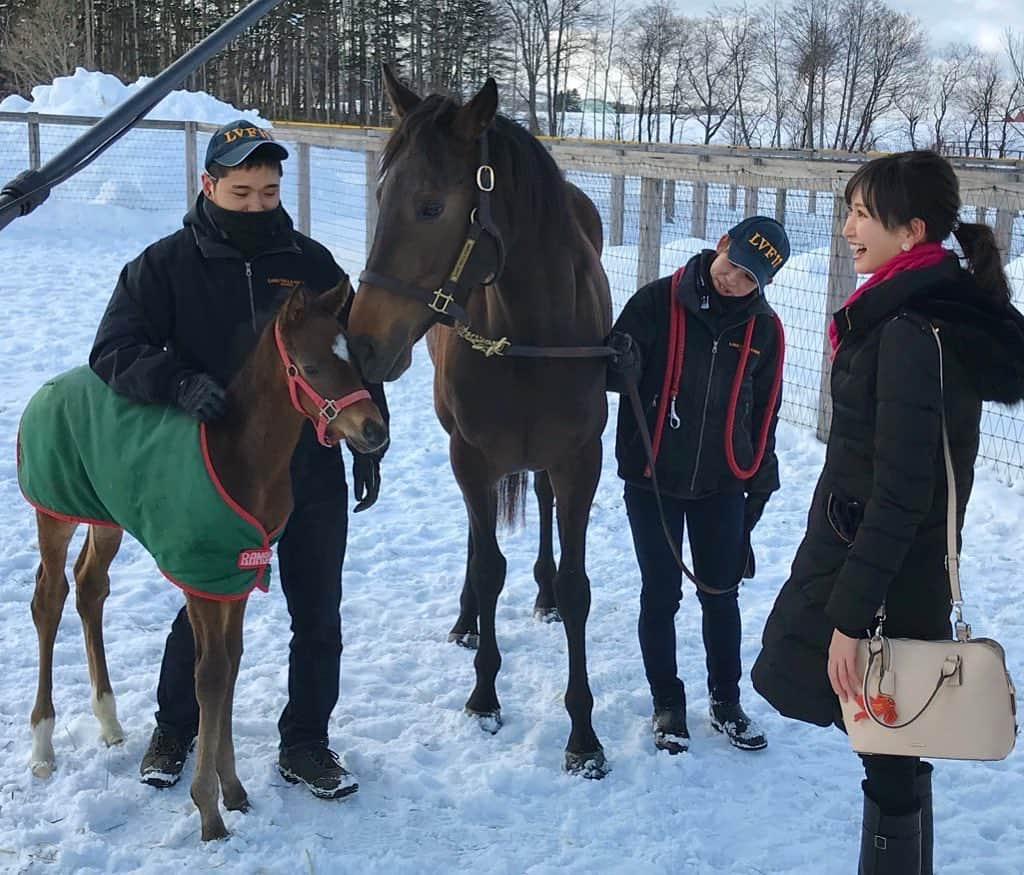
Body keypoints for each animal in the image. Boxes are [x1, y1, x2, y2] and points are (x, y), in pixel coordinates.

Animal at [19, 284, 387, 840]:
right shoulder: (199, 576)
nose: (374, 431)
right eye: (311, 366)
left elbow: (230, 666)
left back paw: (109, 722)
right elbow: (209, 674)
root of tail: (45, 389)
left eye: (356, 360)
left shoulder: (235, 574)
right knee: (49, 598)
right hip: (53, 514)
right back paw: (42, 747)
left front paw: (234, 792)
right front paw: (209, 813)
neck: (241, 461)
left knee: (90, 587)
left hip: (105, 518)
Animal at [348, 70, 610, 782]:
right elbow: (489, 565)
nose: (362, 344)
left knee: (539, 504)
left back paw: (542, 595)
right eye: (380, 194)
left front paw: (583, 734)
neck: (529, 338)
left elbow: (578, 585)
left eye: (431, 206)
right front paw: (485, 693)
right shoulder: (471, 455)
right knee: (477, 533)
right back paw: (468, 619)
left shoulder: (581, 461)